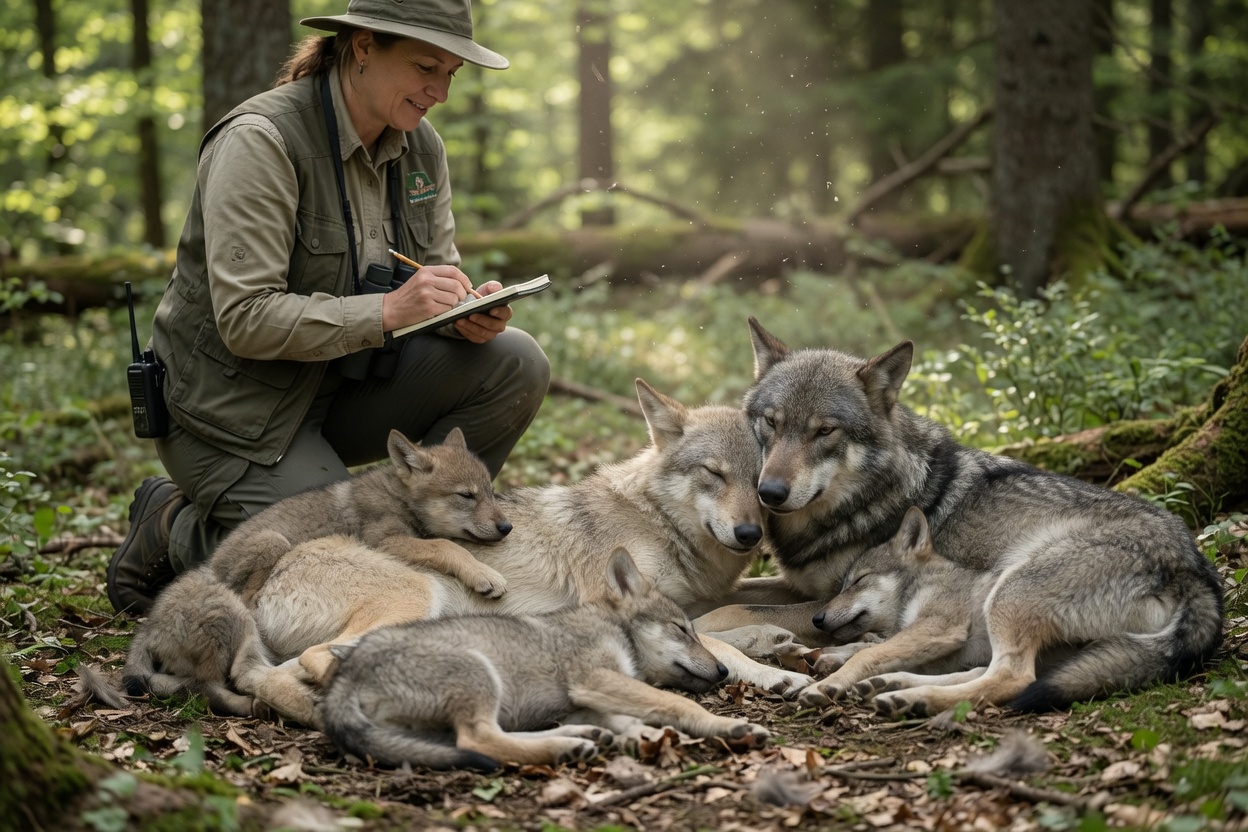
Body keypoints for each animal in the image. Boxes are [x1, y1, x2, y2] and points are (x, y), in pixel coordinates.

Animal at [318, 548, 771, 770]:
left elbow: (634, 719)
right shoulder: (595, 679)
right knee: (479, 741)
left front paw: (638, 736)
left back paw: (579, 739)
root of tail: (346, 676)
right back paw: (564, 748)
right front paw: (729, 726)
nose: (724, 671)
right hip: (479, 675)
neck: (610, 627)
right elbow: (677, 704)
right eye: (682, 630)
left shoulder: (590, 696)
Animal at [698, 318, 1224, 710]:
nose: (769, 492)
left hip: (1013, 586)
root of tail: (1198, 573)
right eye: (771, 423)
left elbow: (730, 608)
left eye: (824, 431)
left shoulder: (826, 599)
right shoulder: (805, 587)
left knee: (1011, 676)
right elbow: (730, 597)